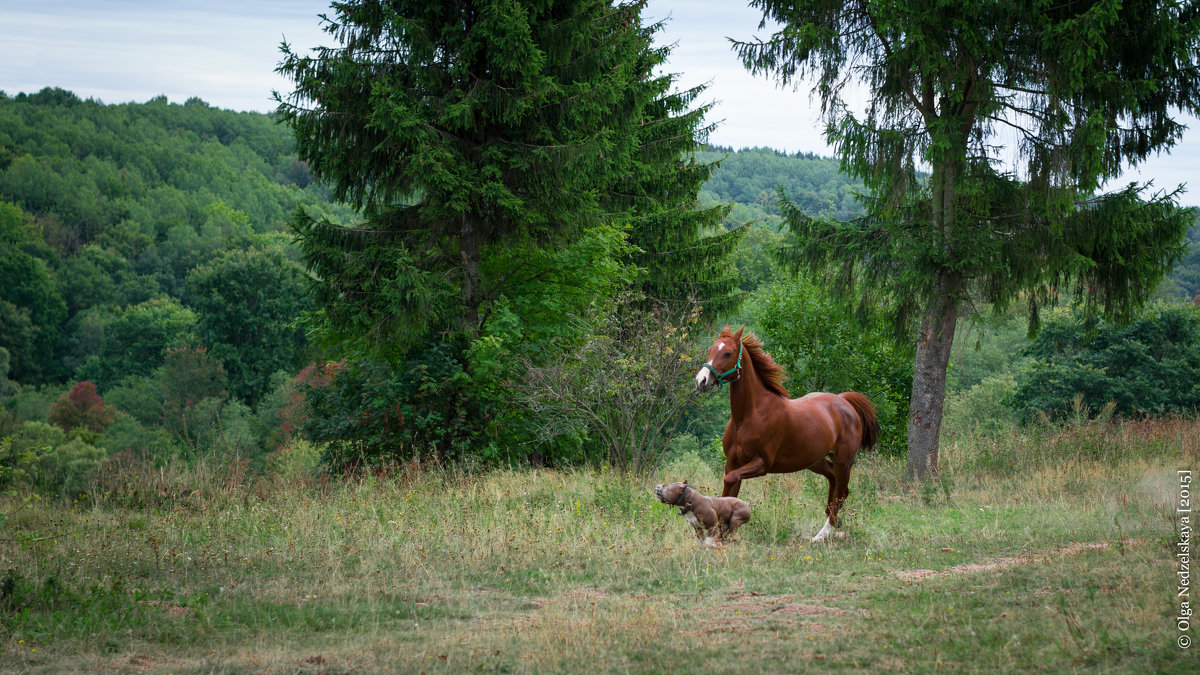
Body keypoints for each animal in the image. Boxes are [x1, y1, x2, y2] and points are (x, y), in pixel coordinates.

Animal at [696, 324, 883, 538]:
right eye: (711, 349)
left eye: (728, 353)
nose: (701, 380)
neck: (746, 418)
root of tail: (844, 400)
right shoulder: (732, 463)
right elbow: (729, 490)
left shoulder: (762, 464)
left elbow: (730, 481)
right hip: (814, 460)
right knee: (835, 483)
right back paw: (831, 519)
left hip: (843, 461)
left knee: (841, 493)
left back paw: (823, 534)